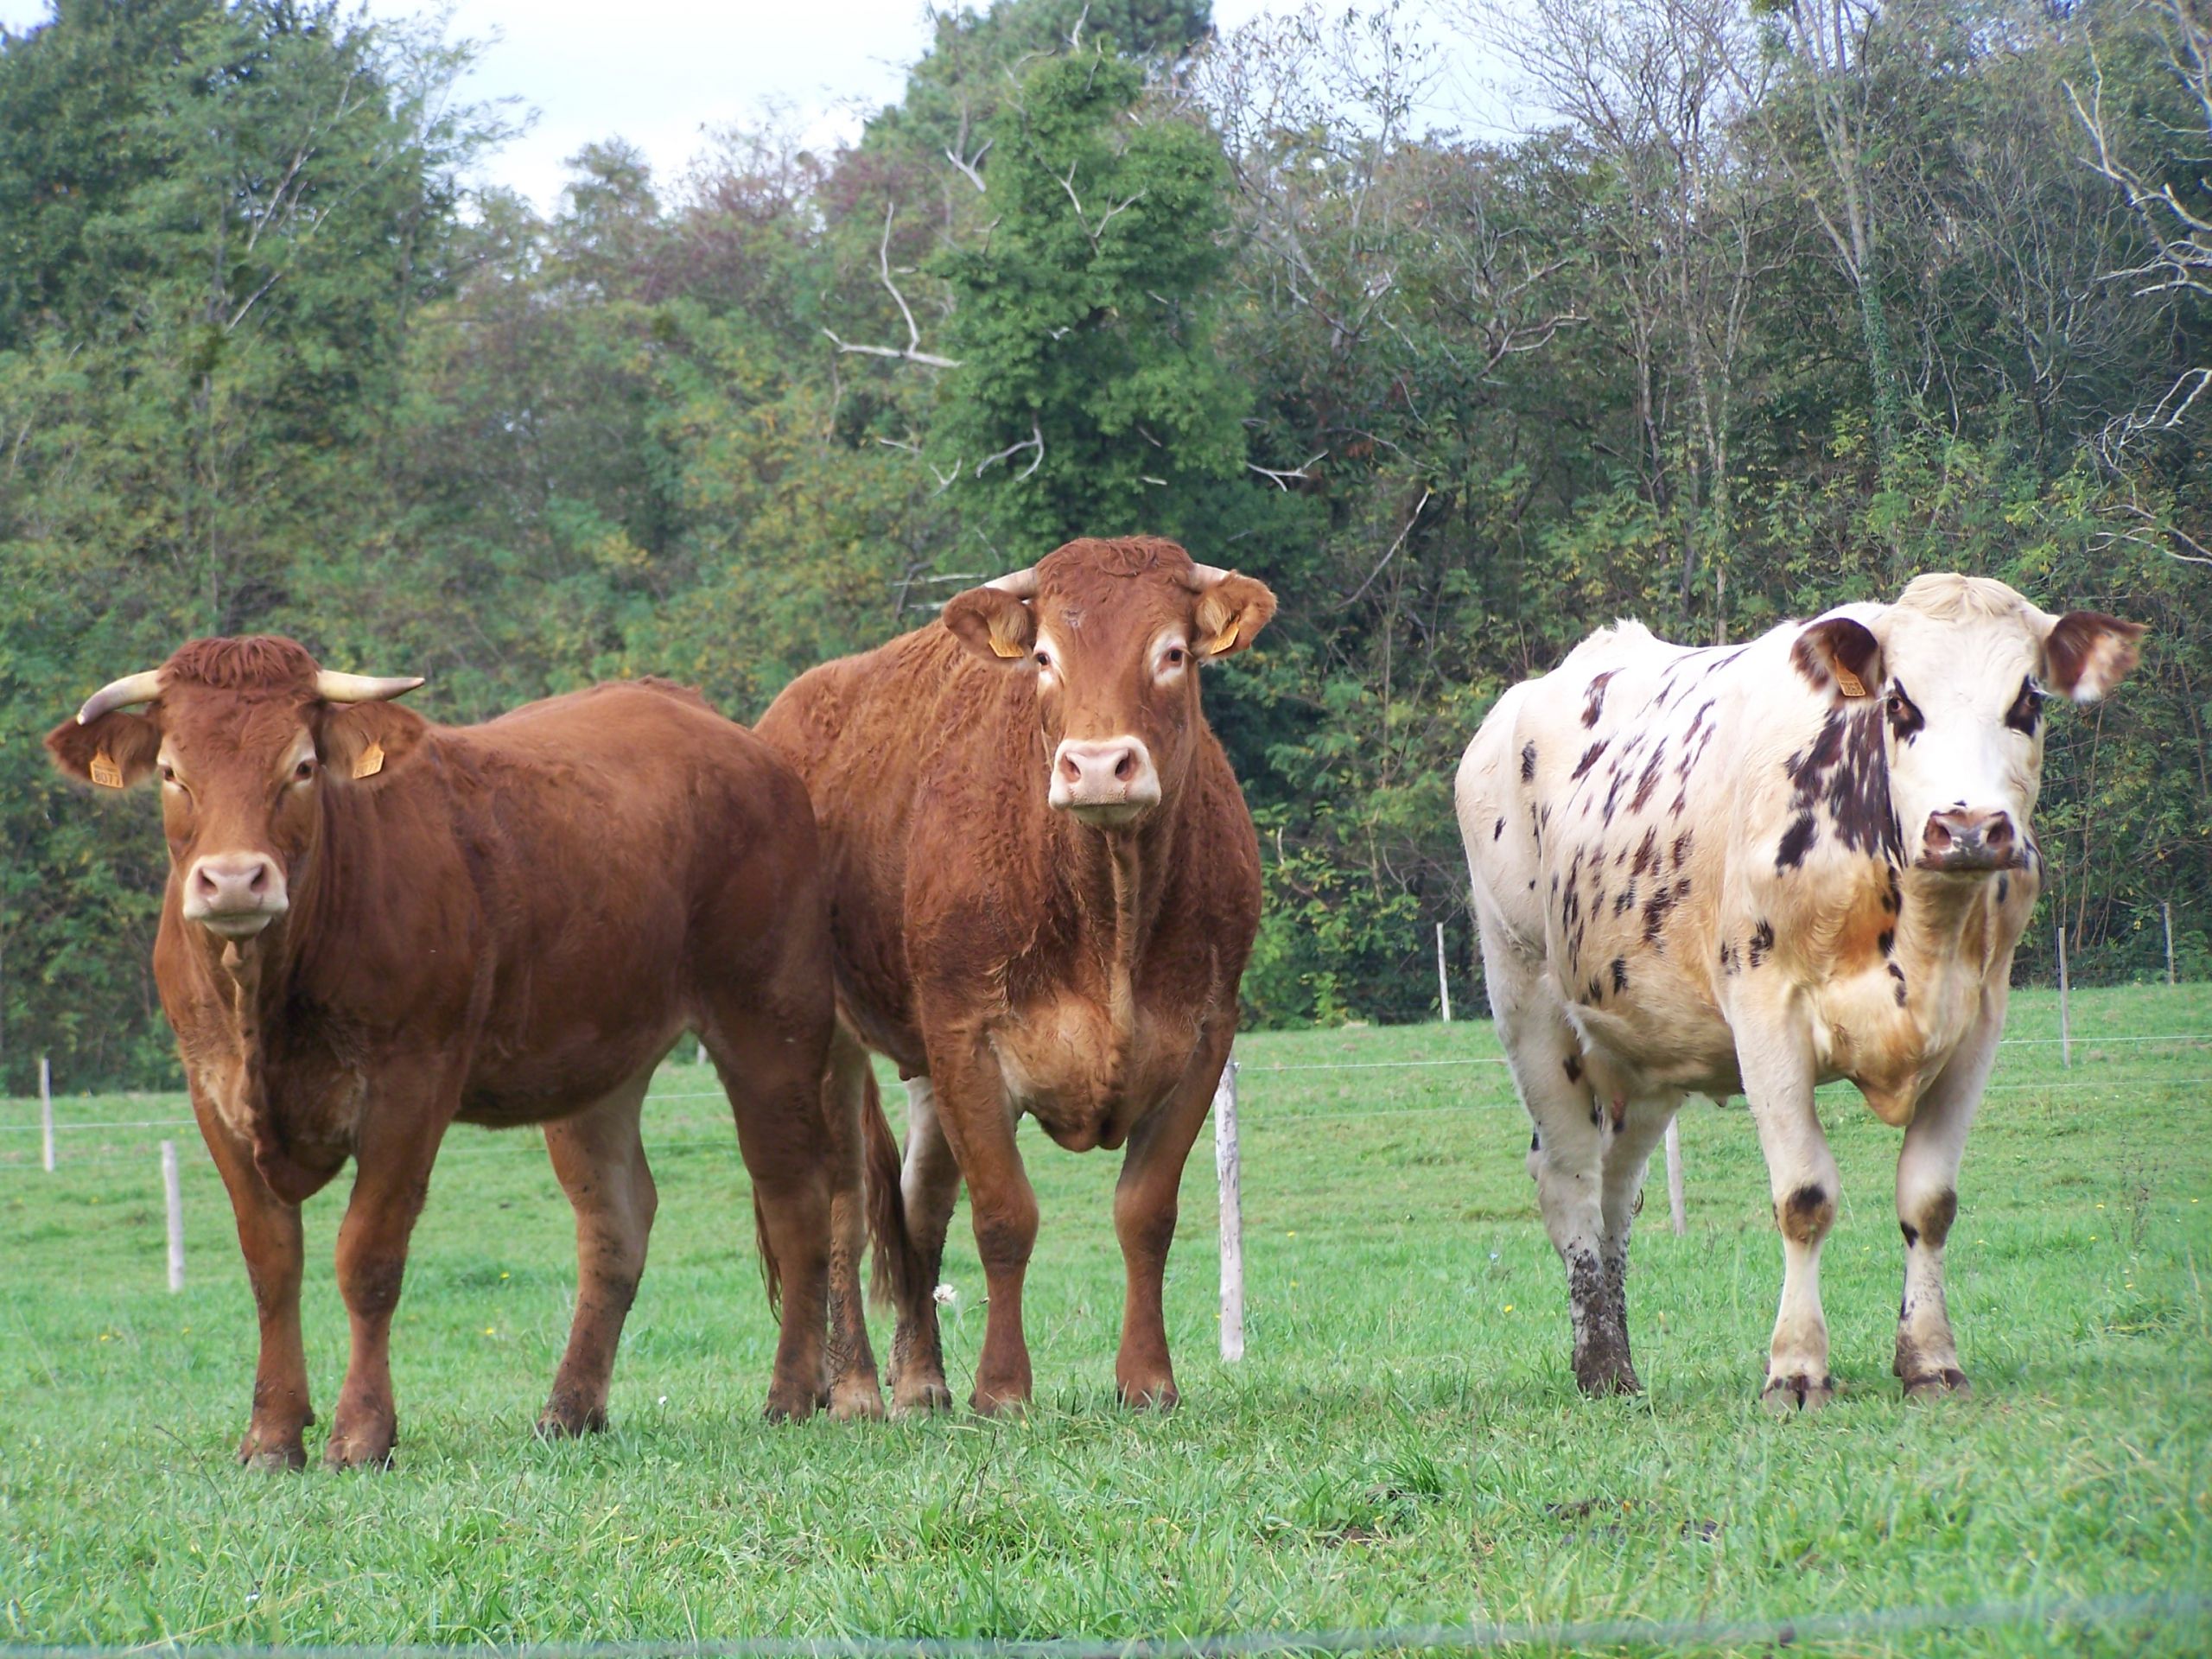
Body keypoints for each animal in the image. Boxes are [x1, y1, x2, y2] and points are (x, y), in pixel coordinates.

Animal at [42, 637, 871, 1468]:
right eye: (172, 771)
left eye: (301, 766)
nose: (236, 880)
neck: (266, 1003)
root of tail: (713, 726)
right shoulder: (212, 1093)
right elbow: (271, 1264)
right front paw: (272, 1434)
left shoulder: (410, 1086)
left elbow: (367, 1259)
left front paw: (362, 1433)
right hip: (598, 1061)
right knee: (616, 1222)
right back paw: (568, 1409)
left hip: (770, 1021)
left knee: (797, 1200)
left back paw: (790, 1396)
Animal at [760, 535, 1282, 1415]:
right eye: (1044, 658)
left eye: (1172, 653)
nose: (1098, 766)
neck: (1109, 912)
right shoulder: (967, 1038)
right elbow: (1004, 1216)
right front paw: (1002, 1389)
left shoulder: (1204, 1039)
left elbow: (1146, 1215)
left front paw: (1148, 1380)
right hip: (827, 1038)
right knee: (843, 1210)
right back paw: (857, 1387)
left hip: (921, 1069)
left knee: (918, 1207)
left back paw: (921, 1380)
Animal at [1451, 579, 2141, 1407]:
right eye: (1899, 702)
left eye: (2027, 701)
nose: (1970, 827)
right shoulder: (1765, 1015)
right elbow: (1804, 1197)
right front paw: (1797, 1369)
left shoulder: (1979, 1022)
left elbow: (1930, 1201)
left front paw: (1930, 1359)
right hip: (1529, 1004)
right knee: (1570, 1182)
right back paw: (1602, 1367)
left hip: (1643, 1047)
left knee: (1618, 1192)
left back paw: (1619, 1359)